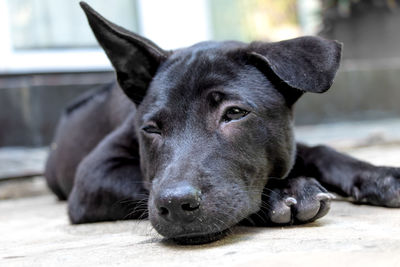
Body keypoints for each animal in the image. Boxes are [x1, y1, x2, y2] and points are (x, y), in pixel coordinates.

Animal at [44, 2, 400, 245]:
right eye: (151, 129)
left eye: (234, 113)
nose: (175, 205)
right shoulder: (93, 174)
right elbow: (144, 181)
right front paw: (283, 192)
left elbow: (320, 150)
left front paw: (378, 175)